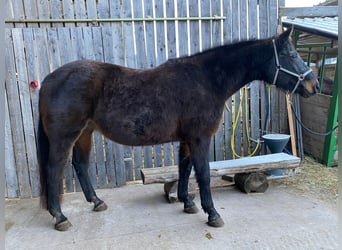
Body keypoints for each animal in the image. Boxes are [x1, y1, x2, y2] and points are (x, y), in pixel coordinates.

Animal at [37, 27, 318, 230]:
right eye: (292, 56)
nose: (313, 85)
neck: (206, 80)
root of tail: (49, 78)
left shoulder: (187, 139)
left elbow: (185, 169)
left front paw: (187, 203)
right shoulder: (200, 138)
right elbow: (202, 174)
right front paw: (212, 214)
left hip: (85, 133)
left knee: (80, 165)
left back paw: (96, 202)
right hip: (65, 136)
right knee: (54, 169)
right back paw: (60, 217)